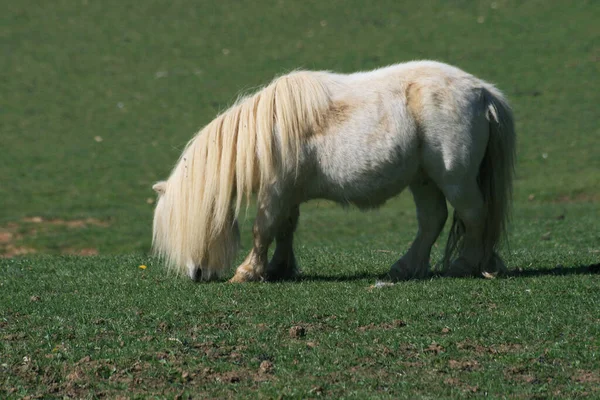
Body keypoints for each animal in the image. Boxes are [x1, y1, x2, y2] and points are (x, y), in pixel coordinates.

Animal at [151, 61, 516, 282]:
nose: (196, 274)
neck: (267, 133)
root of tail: (482, 92)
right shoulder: (288, 193)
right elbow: (284, 229)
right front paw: (280, 268)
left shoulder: (276, 190)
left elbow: (263, 229)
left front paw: (248, 272)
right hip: (424, 179)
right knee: (432, 220)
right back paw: (404, 267)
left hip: (455, 178)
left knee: (473, 215)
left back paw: (465, 265)